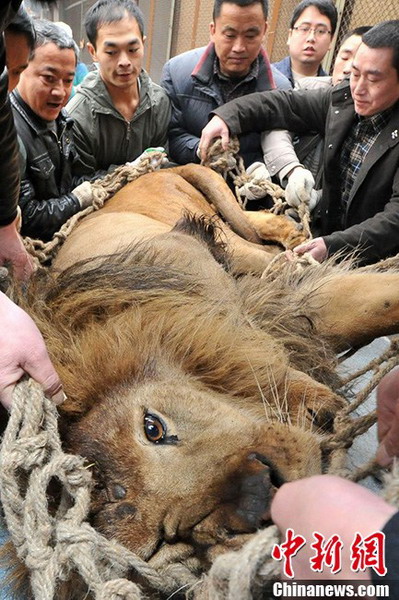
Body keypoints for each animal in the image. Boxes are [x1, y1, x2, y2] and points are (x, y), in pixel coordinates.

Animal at [2, 165, 399, 600]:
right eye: (161, 543)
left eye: (153, 428)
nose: (263, 493)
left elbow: (379, 301)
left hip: (224, 234)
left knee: (266, 239)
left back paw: (300, 243)